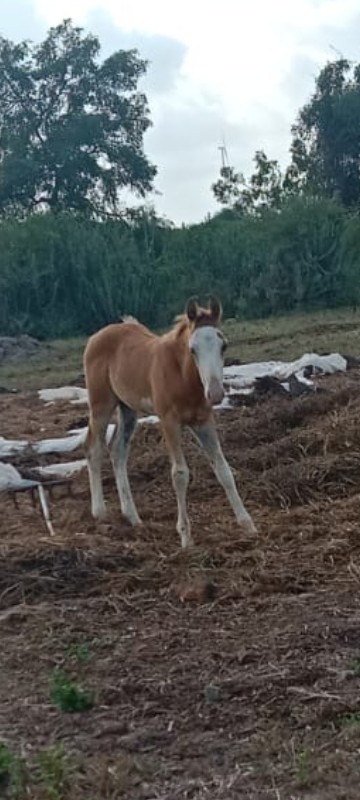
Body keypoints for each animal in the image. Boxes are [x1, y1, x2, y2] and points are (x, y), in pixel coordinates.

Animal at [83, 296, 256, 548]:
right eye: (192, 349)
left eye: (223, 346)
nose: (215, 393)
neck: (184, 377)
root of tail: (97, 336)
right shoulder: (169, 422)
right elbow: (180, 474)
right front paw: (185, 537)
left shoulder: (204, 421)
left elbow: (223, 469)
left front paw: (248, 525)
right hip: (101, 404)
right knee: (93, 448)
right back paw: (100, 512)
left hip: (128, 408)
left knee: (117, 451)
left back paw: (133, 517)